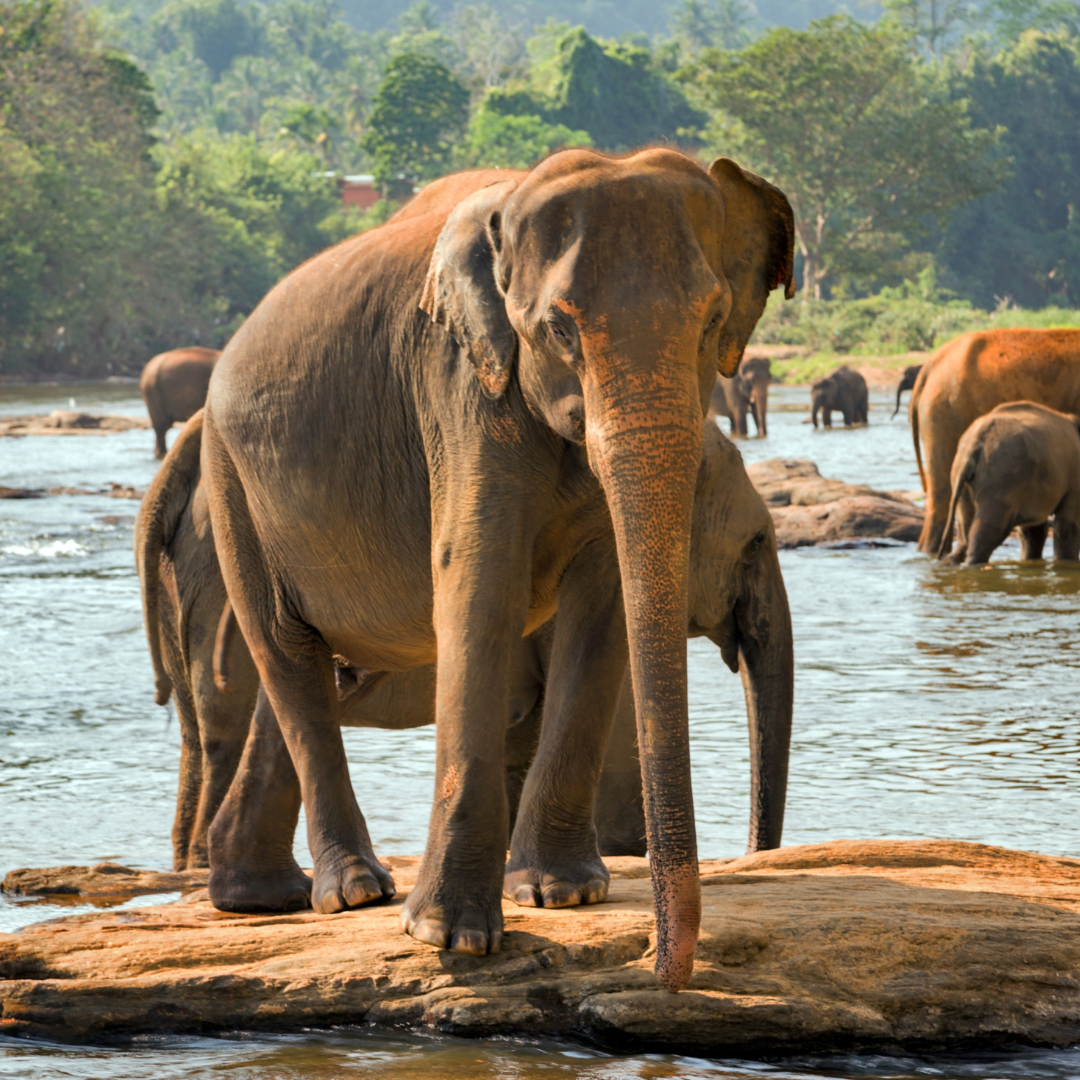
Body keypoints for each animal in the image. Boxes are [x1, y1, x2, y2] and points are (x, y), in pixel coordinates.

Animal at [937, 402, 1080, 565]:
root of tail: (973, 447)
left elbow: (1032, 530)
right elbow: (1067, 526)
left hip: (962, 481)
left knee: (964, 534)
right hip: (1000, 480)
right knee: (988, 531)